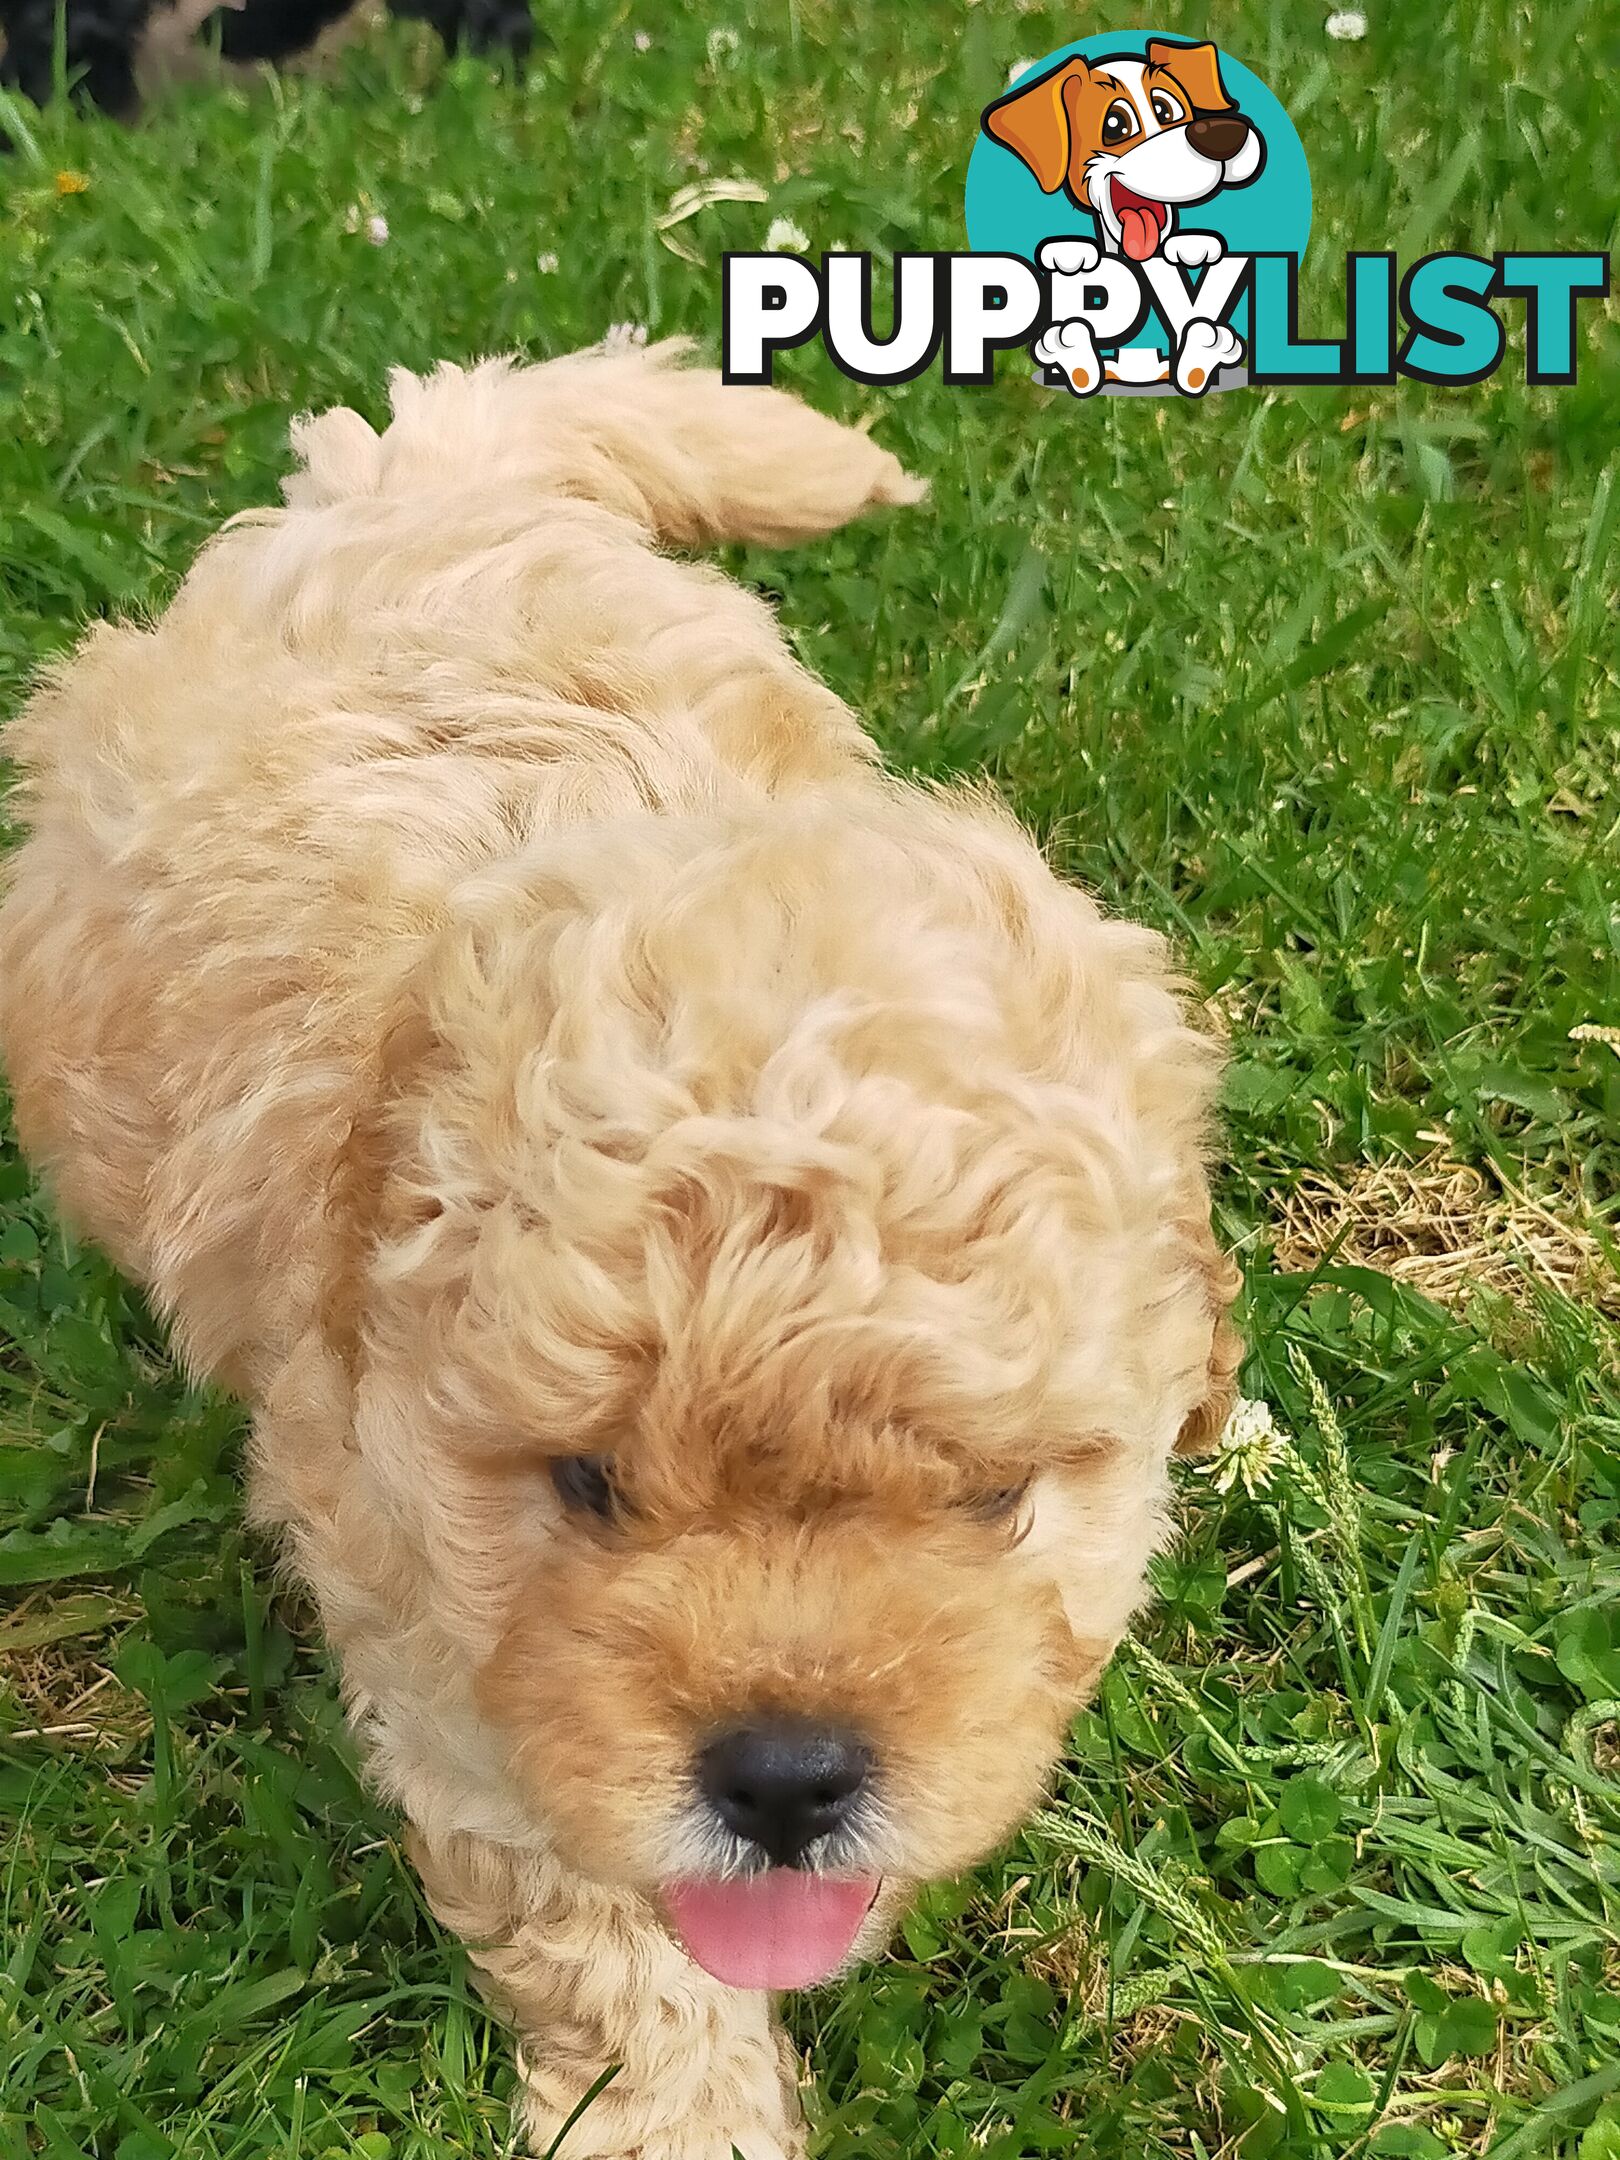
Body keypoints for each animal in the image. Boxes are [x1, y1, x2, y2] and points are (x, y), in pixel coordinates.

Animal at [3, 345, 1244, 2151]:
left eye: (997, 1499)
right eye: (585, 1486)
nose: (788, 1778)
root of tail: (400, 484)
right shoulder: (454, 1666)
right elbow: (606, 1943)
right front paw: (681, 2116)